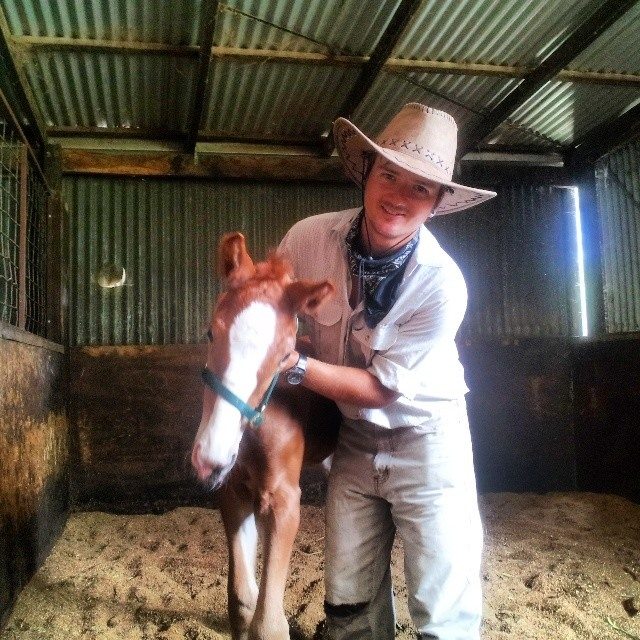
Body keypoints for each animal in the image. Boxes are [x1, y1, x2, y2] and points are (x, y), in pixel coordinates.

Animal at [190, 232, 340, 640]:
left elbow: (269, 624)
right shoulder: (232, 490)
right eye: (210, 331)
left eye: (284, 354)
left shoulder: (283, 500)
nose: (209, 460)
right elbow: (242, 603)